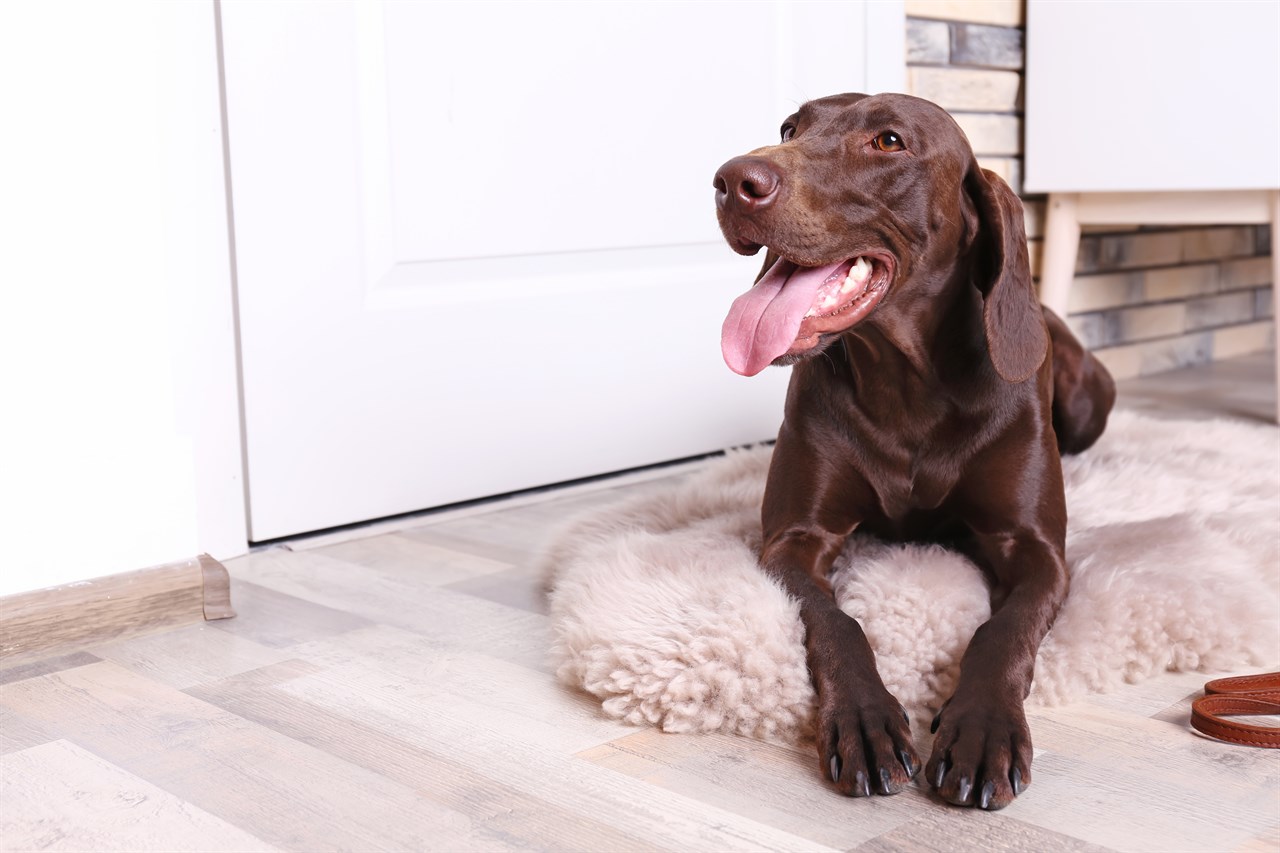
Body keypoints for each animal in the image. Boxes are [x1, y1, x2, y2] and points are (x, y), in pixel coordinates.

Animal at [716, 94, 1116, 809]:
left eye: (889, 141)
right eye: (790, 128)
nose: (733, 180)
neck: (908, 385)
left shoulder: (1035, 551)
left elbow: (1001, 633)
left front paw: (982, 730)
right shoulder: (794, 540)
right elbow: (835, 623)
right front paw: (866, 721)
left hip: (1085, 401)